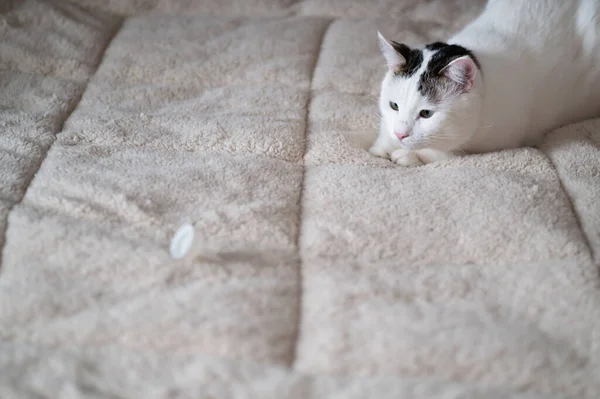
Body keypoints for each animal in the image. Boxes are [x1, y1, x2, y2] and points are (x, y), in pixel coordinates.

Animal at [370, 0, 600, 166]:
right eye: (394, 105)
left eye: (426, 113)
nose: (400, 134)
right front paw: (383, 145)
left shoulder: (507, 139)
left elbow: (447, 153)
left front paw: (410, 155)